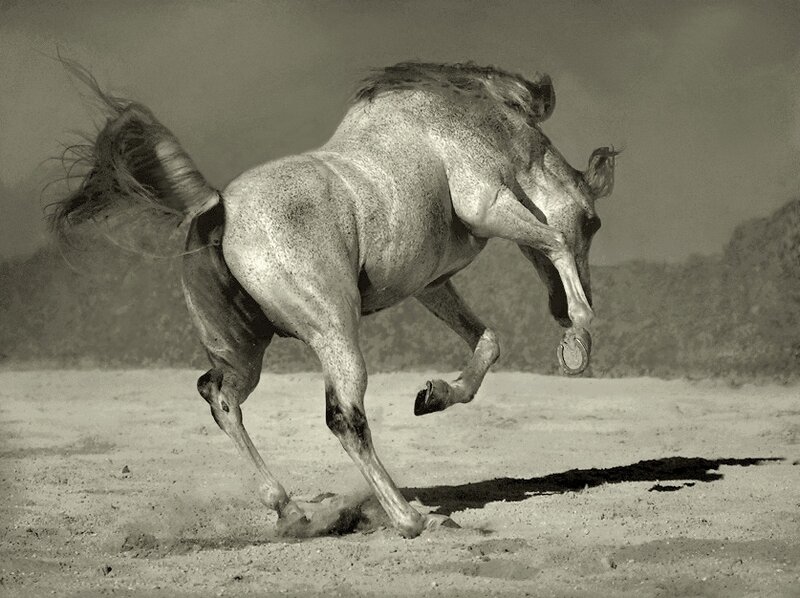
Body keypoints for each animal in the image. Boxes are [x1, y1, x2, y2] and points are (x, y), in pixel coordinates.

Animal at [49, 60, 617, 538]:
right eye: (593, 222)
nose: (558, 309)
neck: (477, 124)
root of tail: (216, 210)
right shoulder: (488, 206)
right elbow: (553, 240)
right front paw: (578, 338)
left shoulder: (430, 284)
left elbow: (488, 342)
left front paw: (434, 395)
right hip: (333, 333)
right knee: (344, 417)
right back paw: (410, 518)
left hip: (244, 352)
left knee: (220, 397)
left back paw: (291, 510)